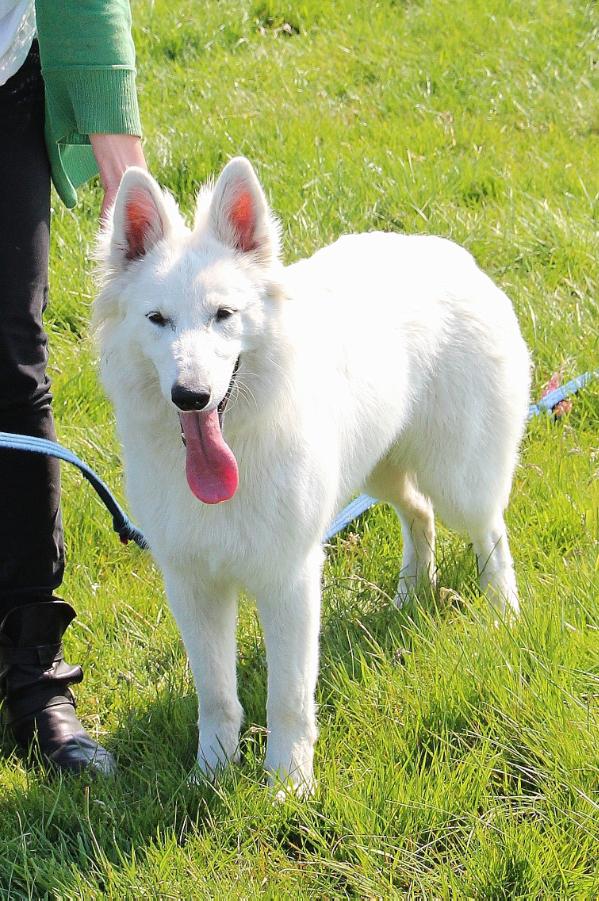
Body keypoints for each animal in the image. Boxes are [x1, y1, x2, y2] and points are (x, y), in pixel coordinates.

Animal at [96, 158, 532, 792]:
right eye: (158, 320)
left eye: (223, 316)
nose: (190, 396)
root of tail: (452, 253)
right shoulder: (194, 586)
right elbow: (215, 694)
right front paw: (211, 773)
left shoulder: (290, 581)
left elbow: (288, 698)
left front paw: (288, 785)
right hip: (379, 471)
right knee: (418, 513)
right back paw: (409, 593)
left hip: (459, 480)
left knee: (490, 532)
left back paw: (502, 612)